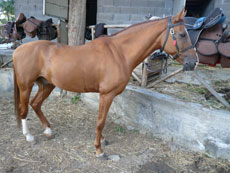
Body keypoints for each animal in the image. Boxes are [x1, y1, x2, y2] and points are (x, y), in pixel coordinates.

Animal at [13, 9, 199, 158]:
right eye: (182, 34)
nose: (194, 62)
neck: (119, 52)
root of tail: (18, 50)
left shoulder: (108, 95)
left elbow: (102, 119)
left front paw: (102, 140)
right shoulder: (106, 94)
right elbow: (101, 121)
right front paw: (99, 150)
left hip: (46, 85)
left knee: (35, 104)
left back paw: (48, 130)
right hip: (26, 86)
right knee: (24, 109)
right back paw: (29, 136)